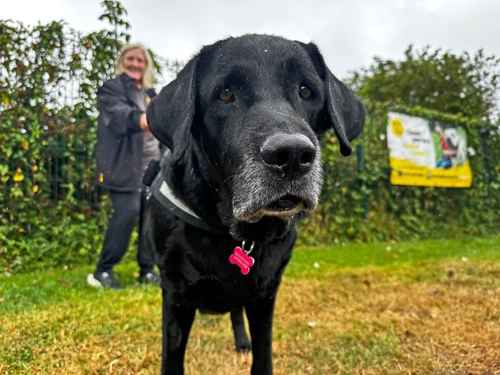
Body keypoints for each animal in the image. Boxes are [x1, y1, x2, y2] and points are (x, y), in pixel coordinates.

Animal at [141, 33, 364, 374]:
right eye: (226, 94)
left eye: (306, 91)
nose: (292, 155)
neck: (234, 230)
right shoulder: (176, 292)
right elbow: (173, 358)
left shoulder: (265, 292)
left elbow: (263, 356)